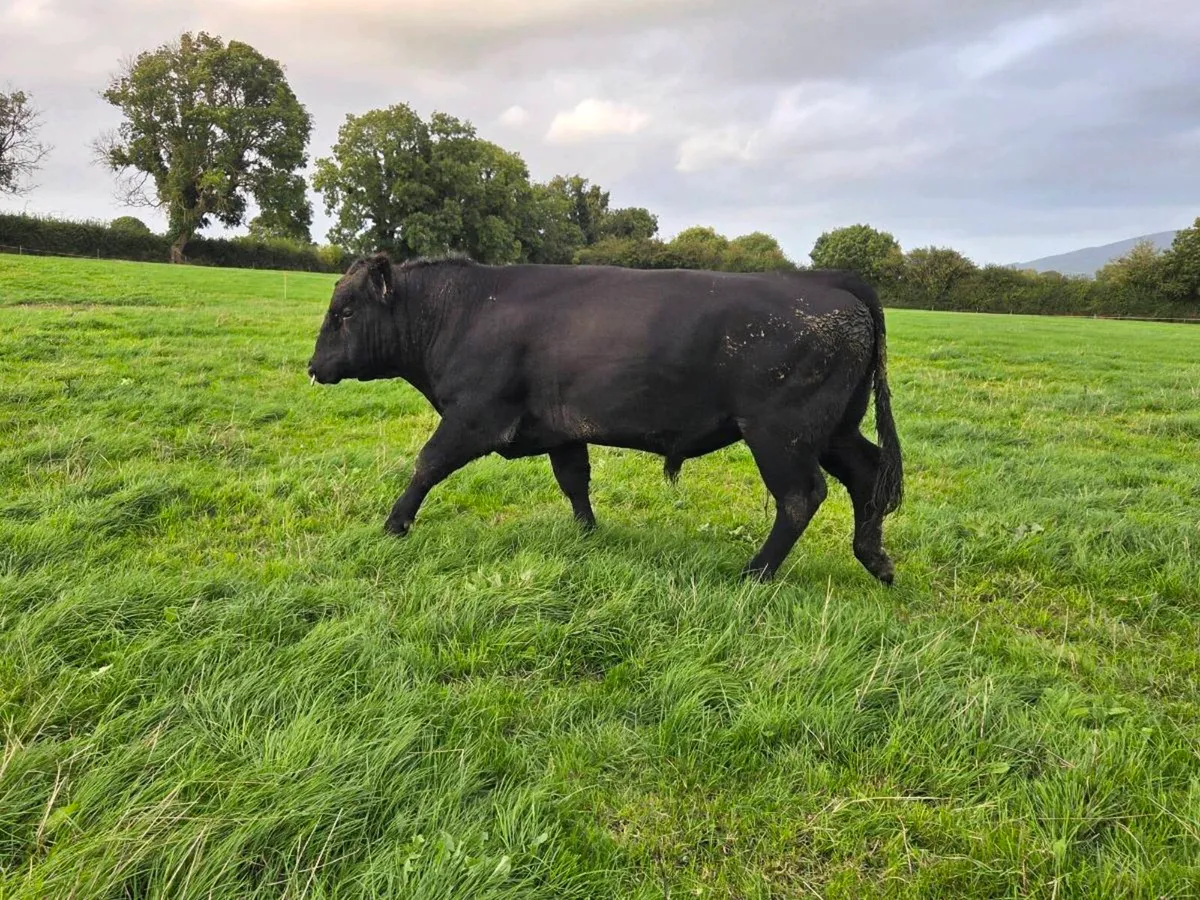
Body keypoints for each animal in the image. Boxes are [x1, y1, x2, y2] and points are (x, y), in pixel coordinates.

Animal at [306, 252, 903, 584]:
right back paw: (873, 558)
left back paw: (756, 573)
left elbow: (426, 465)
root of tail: (828, 281)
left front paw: (394, 525)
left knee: (802, 496)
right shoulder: (559, 429)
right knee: (869, 473)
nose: (313, 367)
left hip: (781, 435)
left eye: (345, 312)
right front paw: (587, 534)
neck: (466, 311)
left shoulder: (474, 417)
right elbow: (574, 480)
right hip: (834, 430)